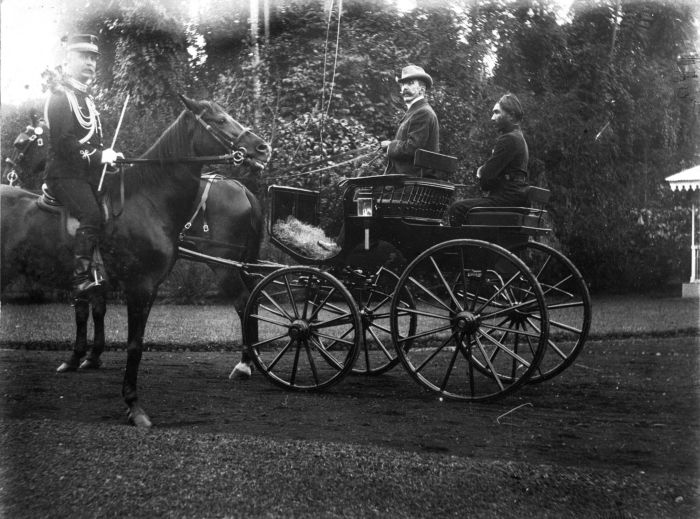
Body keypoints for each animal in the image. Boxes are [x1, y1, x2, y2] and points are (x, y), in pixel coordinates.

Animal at [0, 95, 270, 428]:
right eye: (219, 120)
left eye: (21, 143)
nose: (262, 148)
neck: (146, 199)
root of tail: (241, 188)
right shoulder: (119, 284)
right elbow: (99, 318)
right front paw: (88, 361)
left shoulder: (141, 287)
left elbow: (124, 337)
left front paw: (116, 388)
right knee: (248, 302)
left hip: (223, 266)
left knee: (245, 303)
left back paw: (246, 363)